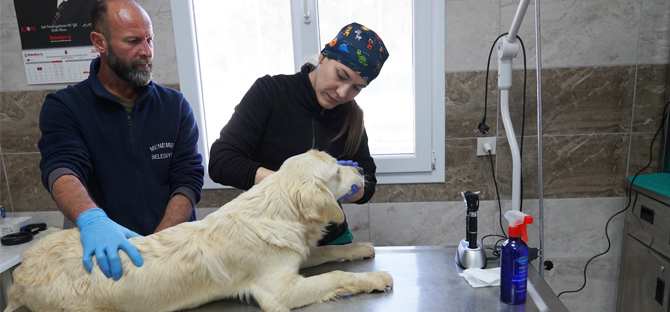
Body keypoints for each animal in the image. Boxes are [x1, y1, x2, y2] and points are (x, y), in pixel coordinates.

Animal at [3, 150, 394, 310]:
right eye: (338, 172)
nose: (361, 170)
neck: (278, 208)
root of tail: (20, 275)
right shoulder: (279, 290)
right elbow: (335, 276)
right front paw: (376, 278)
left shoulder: (296, 255)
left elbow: (328, 251)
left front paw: (359, 248)